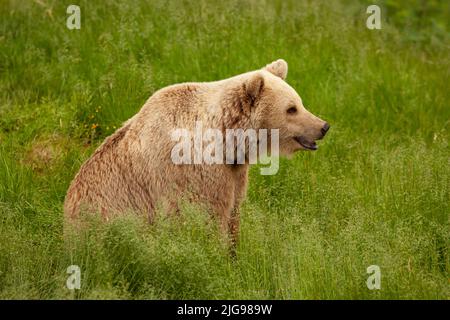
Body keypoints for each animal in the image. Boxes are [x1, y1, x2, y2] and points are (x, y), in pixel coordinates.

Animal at [64, 60, 330, 244]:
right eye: (291, 109)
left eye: (300, 102)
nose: (323, 126)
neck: (225, 141)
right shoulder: (191, 173)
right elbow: (205, 217)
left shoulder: (234, 172)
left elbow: (233, 213)